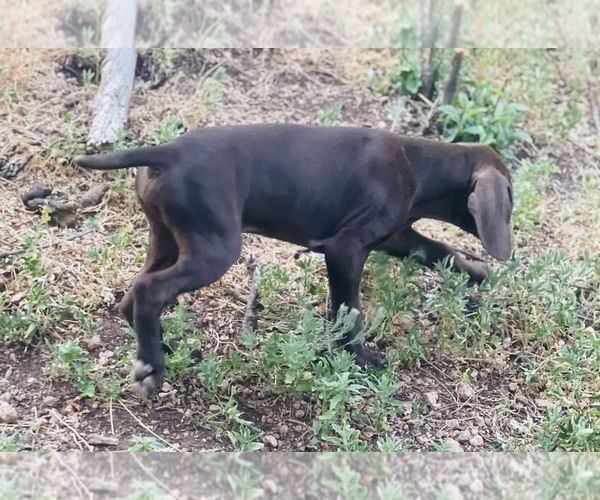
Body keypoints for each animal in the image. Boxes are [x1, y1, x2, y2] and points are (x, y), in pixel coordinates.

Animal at [75, 125, 512, 398]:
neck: (418, 163)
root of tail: (167, 151)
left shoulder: (394, 236)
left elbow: (437, 250)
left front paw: (475, 270)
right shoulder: (344, 248)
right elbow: (349, 311)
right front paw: (359, 358)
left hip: (167, 237)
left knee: (133, 295)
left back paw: (158, 351)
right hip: (214, 250)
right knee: (150, 291)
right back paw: (152, 369)